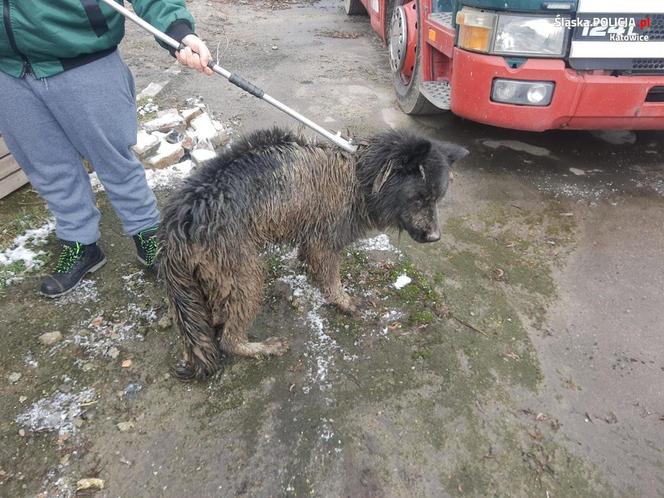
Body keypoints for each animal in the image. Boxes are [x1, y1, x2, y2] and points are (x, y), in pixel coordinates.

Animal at [160, 127, 466, 378]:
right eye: (419, 199)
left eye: (437, 199)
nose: (435, 237)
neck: (360, 174)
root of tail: (177, 222)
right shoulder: (325, 241)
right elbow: (331, 280)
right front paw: (343, 301)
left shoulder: (311, 236)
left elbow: (309, 260)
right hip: (243, 273)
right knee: (228, 339)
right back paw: (261, 347)